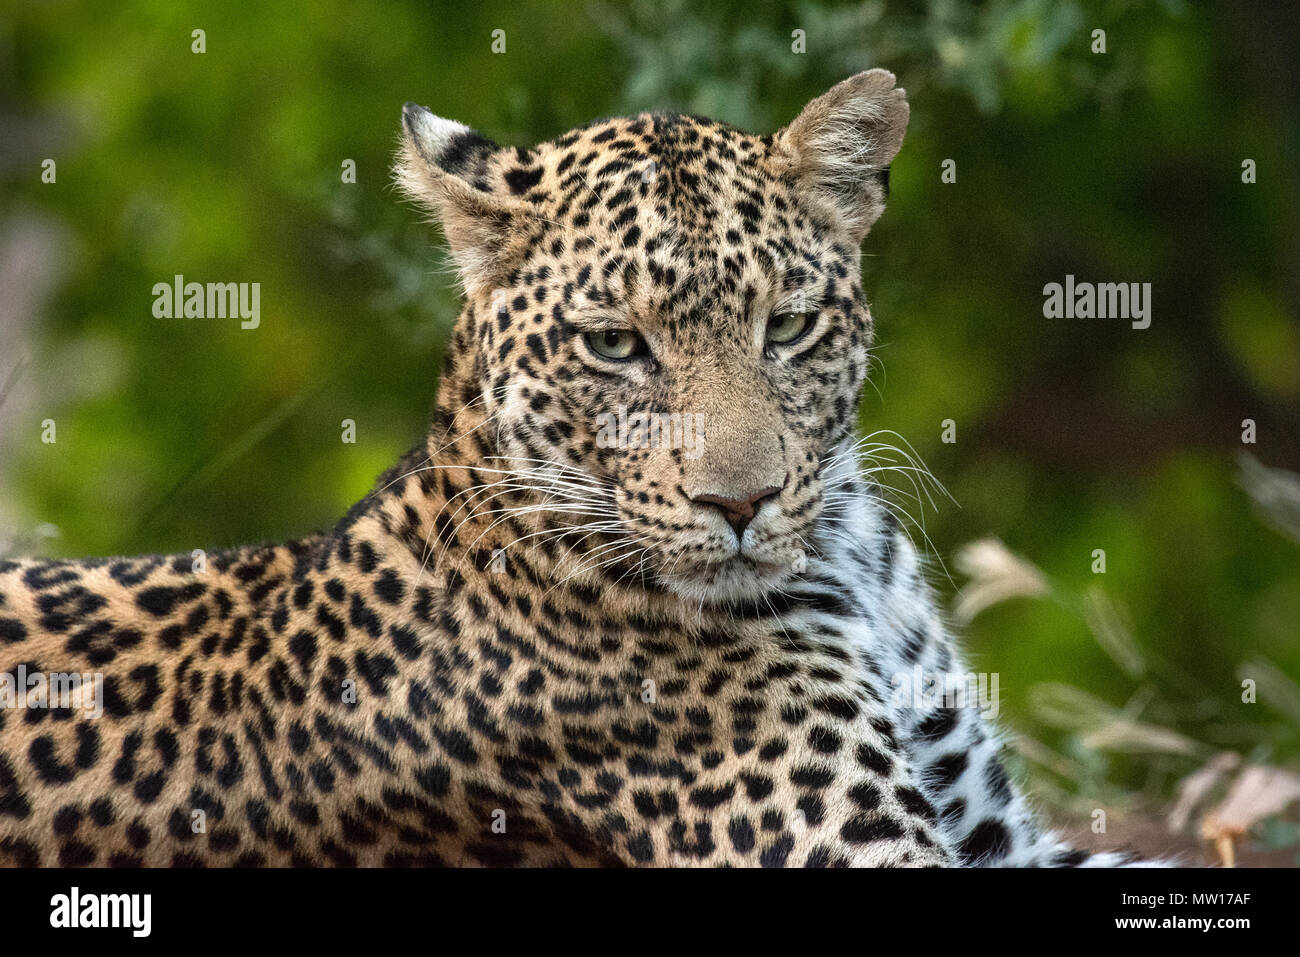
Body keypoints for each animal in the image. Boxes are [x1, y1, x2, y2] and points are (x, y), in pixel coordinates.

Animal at [0, 72, 1159, 868]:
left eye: (786, 327)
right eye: (613, 345)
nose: (741, 502)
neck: (847, 559)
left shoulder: (1001, 838)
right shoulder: (866, 851)